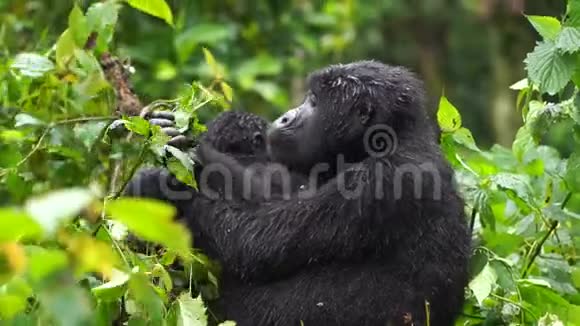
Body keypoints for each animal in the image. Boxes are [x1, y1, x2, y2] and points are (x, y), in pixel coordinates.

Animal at [182, 59, 472, 324]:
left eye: (314, 101)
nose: (286, 116)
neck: (395, 137)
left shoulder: (381, 180)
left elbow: (255, 243)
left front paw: (186, 176)